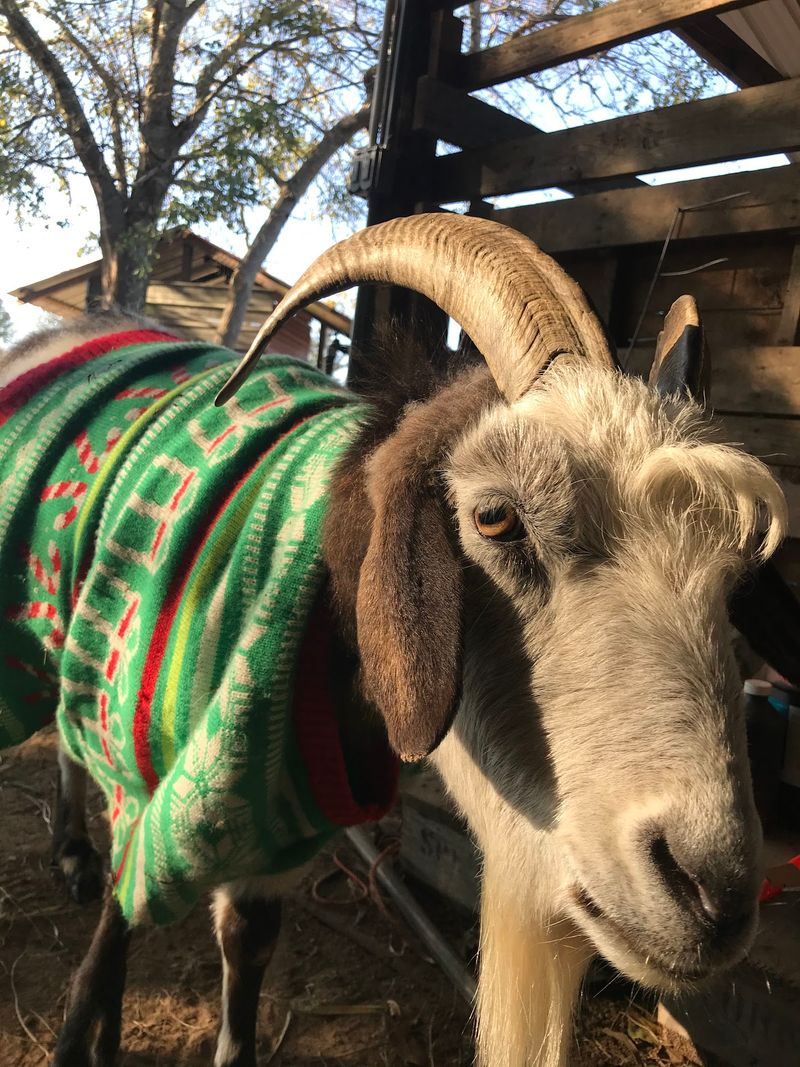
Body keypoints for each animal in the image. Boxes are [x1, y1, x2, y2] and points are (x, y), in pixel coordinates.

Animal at [0, 214, 789, 1067]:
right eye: (495, 517)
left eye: (737, 573)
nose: (712, 892)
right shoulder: (147, 774)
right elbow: (114, 934)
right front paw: (86, 1029)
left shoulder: (275, 838)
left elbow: (247, 944)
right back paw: (72, 851)